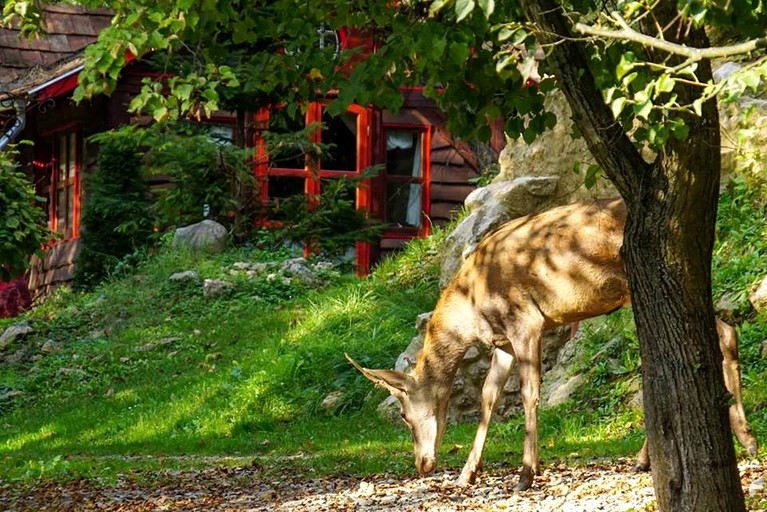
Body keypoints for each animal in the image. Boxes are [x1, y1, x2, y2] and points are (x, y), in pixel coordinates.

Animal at [352, 197, 760, 492]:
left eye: (404, 414)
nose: (422, 464)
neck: (473, 308)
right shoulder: (502, 342)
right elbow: (488, 396)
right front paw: (468, 472)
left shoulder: (526, 323)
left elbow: (530, 393)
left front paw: (526, 474)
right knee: (710, 336)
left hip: (641, 286)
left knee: (719, 333)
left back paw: (744, 437)